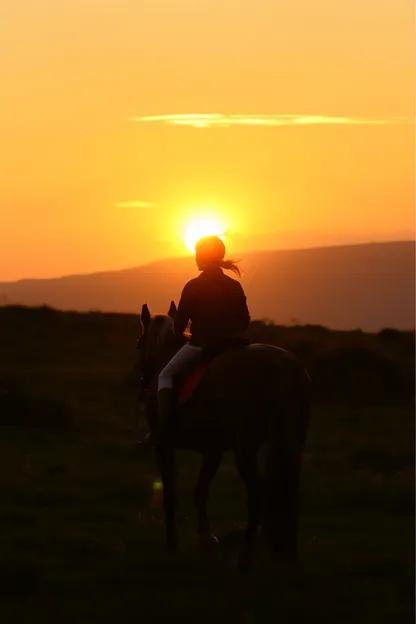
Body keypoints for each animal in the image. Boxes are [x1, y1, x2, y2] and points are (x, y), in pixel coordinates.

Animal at [137, 302, 312, 564]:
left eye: (138, 344)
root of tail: (283, 368)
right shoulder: (213, 451)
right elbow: (200, 492)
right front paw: (207, 540)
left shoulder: (164, 447)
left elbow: (170, 494)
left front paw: (171, 543)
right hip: (291, 445)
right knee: (286, 492)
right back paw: (288, 554)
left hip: (245, 450)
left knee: (258, 494)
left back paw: (245, 556)